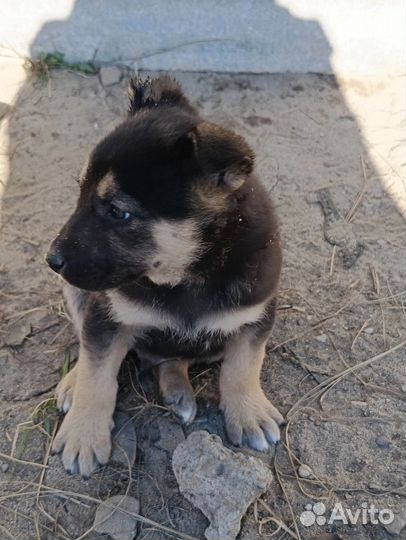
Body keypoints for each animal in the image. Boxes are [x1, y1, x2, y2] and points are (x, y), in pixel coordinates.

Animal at [46, 77, 282, 476]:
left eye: (118, 212)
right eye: (79, 193)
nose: (51, 260)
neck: (185, 275)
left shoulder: (254, 316)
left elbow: (243, 367)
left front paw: (249, 413)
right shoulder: (106, 316)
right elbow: (96, 375)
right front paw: (83, 433)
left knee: (174, 359)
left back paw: (177, 392)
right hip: (79, 294)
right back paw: (73, 383)